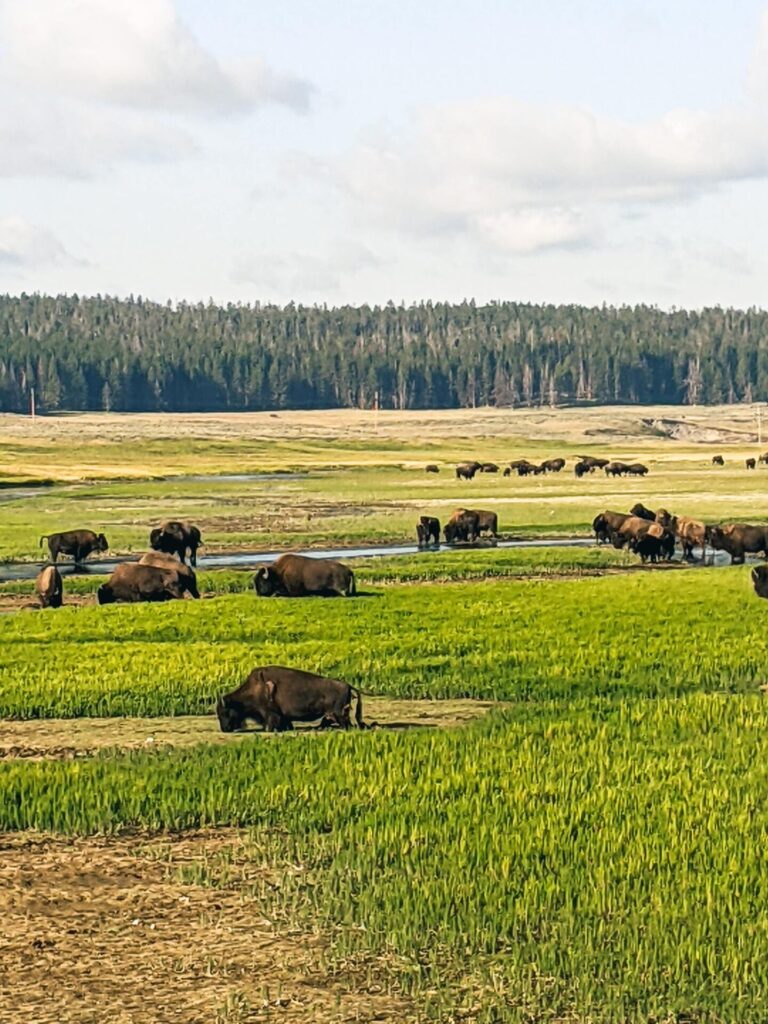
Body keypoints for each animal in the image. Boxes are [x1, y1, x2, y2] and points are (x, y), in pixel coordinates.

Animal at [217, 663, 366, 737]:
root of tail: (347, 685)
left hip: (339, 714)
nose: (225, 729)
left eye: (225, 712)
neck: (254, 688)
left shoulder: (270, 713)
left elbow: (270, 724)